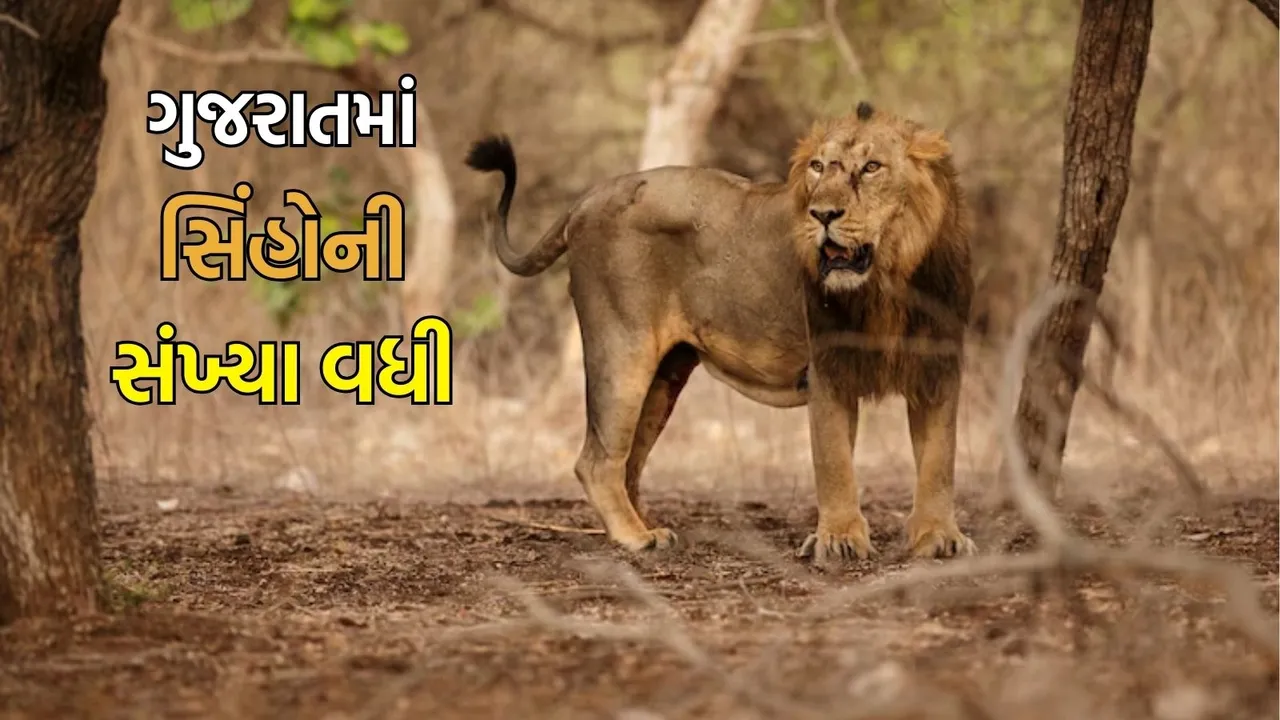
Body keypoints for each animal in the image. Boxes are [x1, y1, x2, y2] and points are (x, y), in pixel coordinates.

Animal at [464, 101, 977, 563]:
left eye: (872, 168)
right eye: (817, 167)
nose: (822, 214)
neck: (890, 282)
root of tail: (587, 198)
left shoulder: (939, 369)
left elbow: (939, 460)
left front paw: (939, 539)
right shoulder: (828, 368)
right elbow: (834, 463)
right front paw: (839, 541)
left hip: (666, 375)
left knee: (630, 462)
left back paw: (648, 526)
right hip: (622, 348)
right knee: (596, 460)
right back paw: (636, 538)